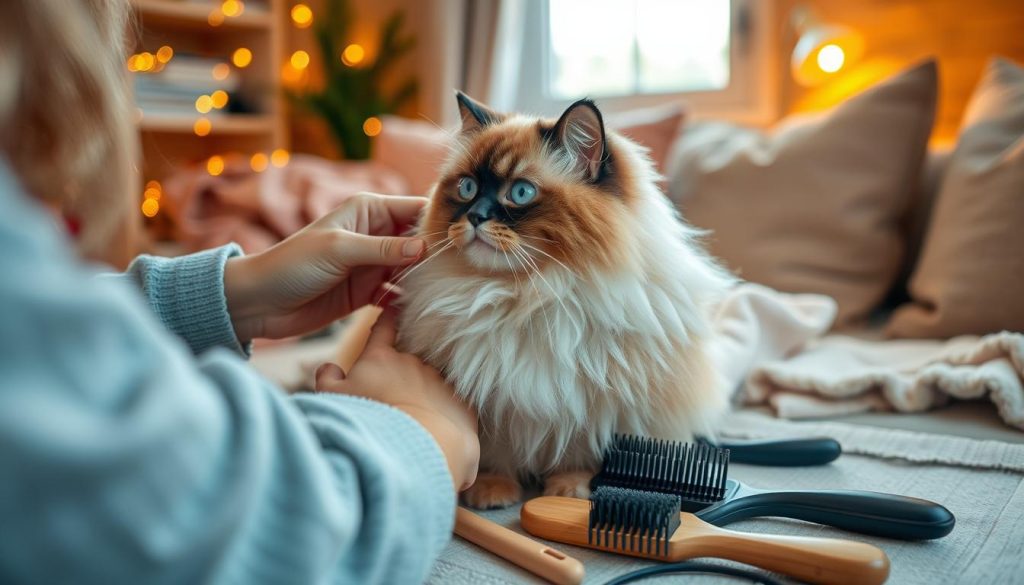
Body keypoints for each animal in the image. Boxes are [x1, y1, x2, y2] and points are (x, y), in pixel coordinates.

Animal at [393, 91, 737, 508]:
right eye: (467, 188)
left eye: (521, 193)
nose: (474, 216)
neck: (530, 295)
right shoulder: (492, 404)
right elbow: (495, 455)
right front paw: (492, 491)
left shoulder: (593, 407)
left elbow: (580, 454)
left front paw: (569, 493)